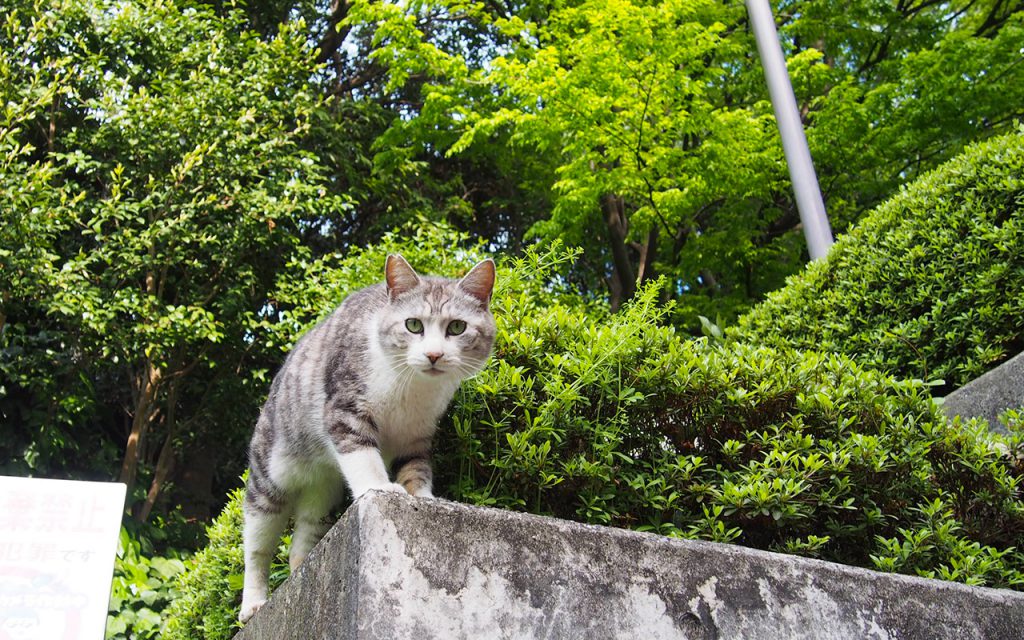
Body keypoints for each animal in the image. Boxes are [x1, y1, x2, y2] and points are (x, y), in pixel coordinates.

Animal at [239, 252, 495, 618]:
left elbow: (416, 468)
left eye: (457, 327)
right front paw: (380, 487)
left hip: (323, 493)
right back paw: (253, 603)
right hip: (269, 477)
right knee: (256, 545)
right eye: (413, 325)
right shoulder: (345, 409)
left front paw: (423, 497)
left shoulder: (418, 435)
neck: (412, 389)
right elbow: (363, 454)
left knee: (303, 533)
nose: (433, 355)